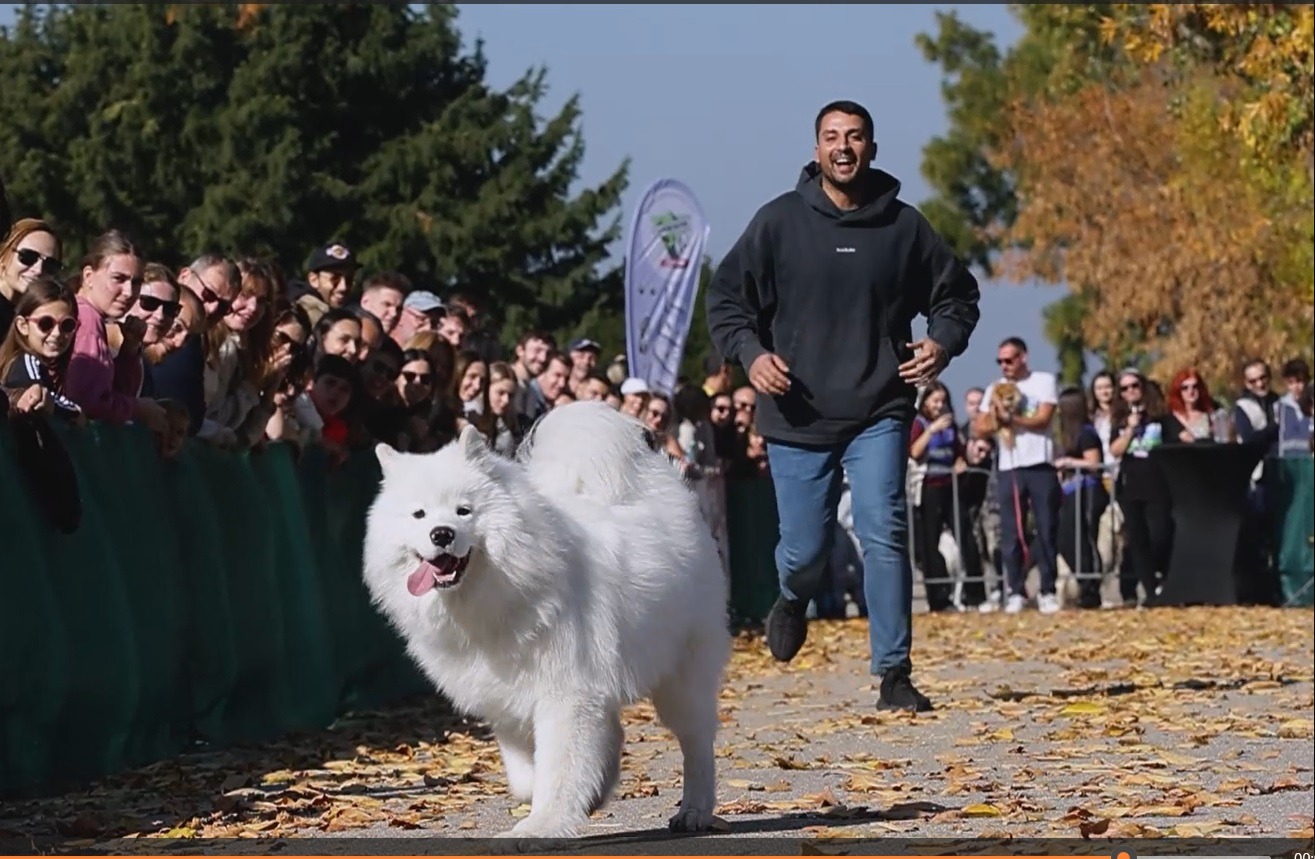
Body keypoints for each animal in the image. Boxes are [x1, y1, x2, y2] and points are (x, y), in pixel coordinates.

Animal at [362, 402, 731, 836]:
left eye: (463, 511)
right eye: (418, 514)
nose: (441, 534)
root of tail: (666, 486)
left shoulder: (566, 693)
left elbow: (557, 769)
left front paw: (541, 826)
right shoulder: (506, 700)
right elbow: (526, 775)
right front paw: (574, 797)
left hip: (680, 678)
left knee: (697, 743)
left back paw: (695, 810)